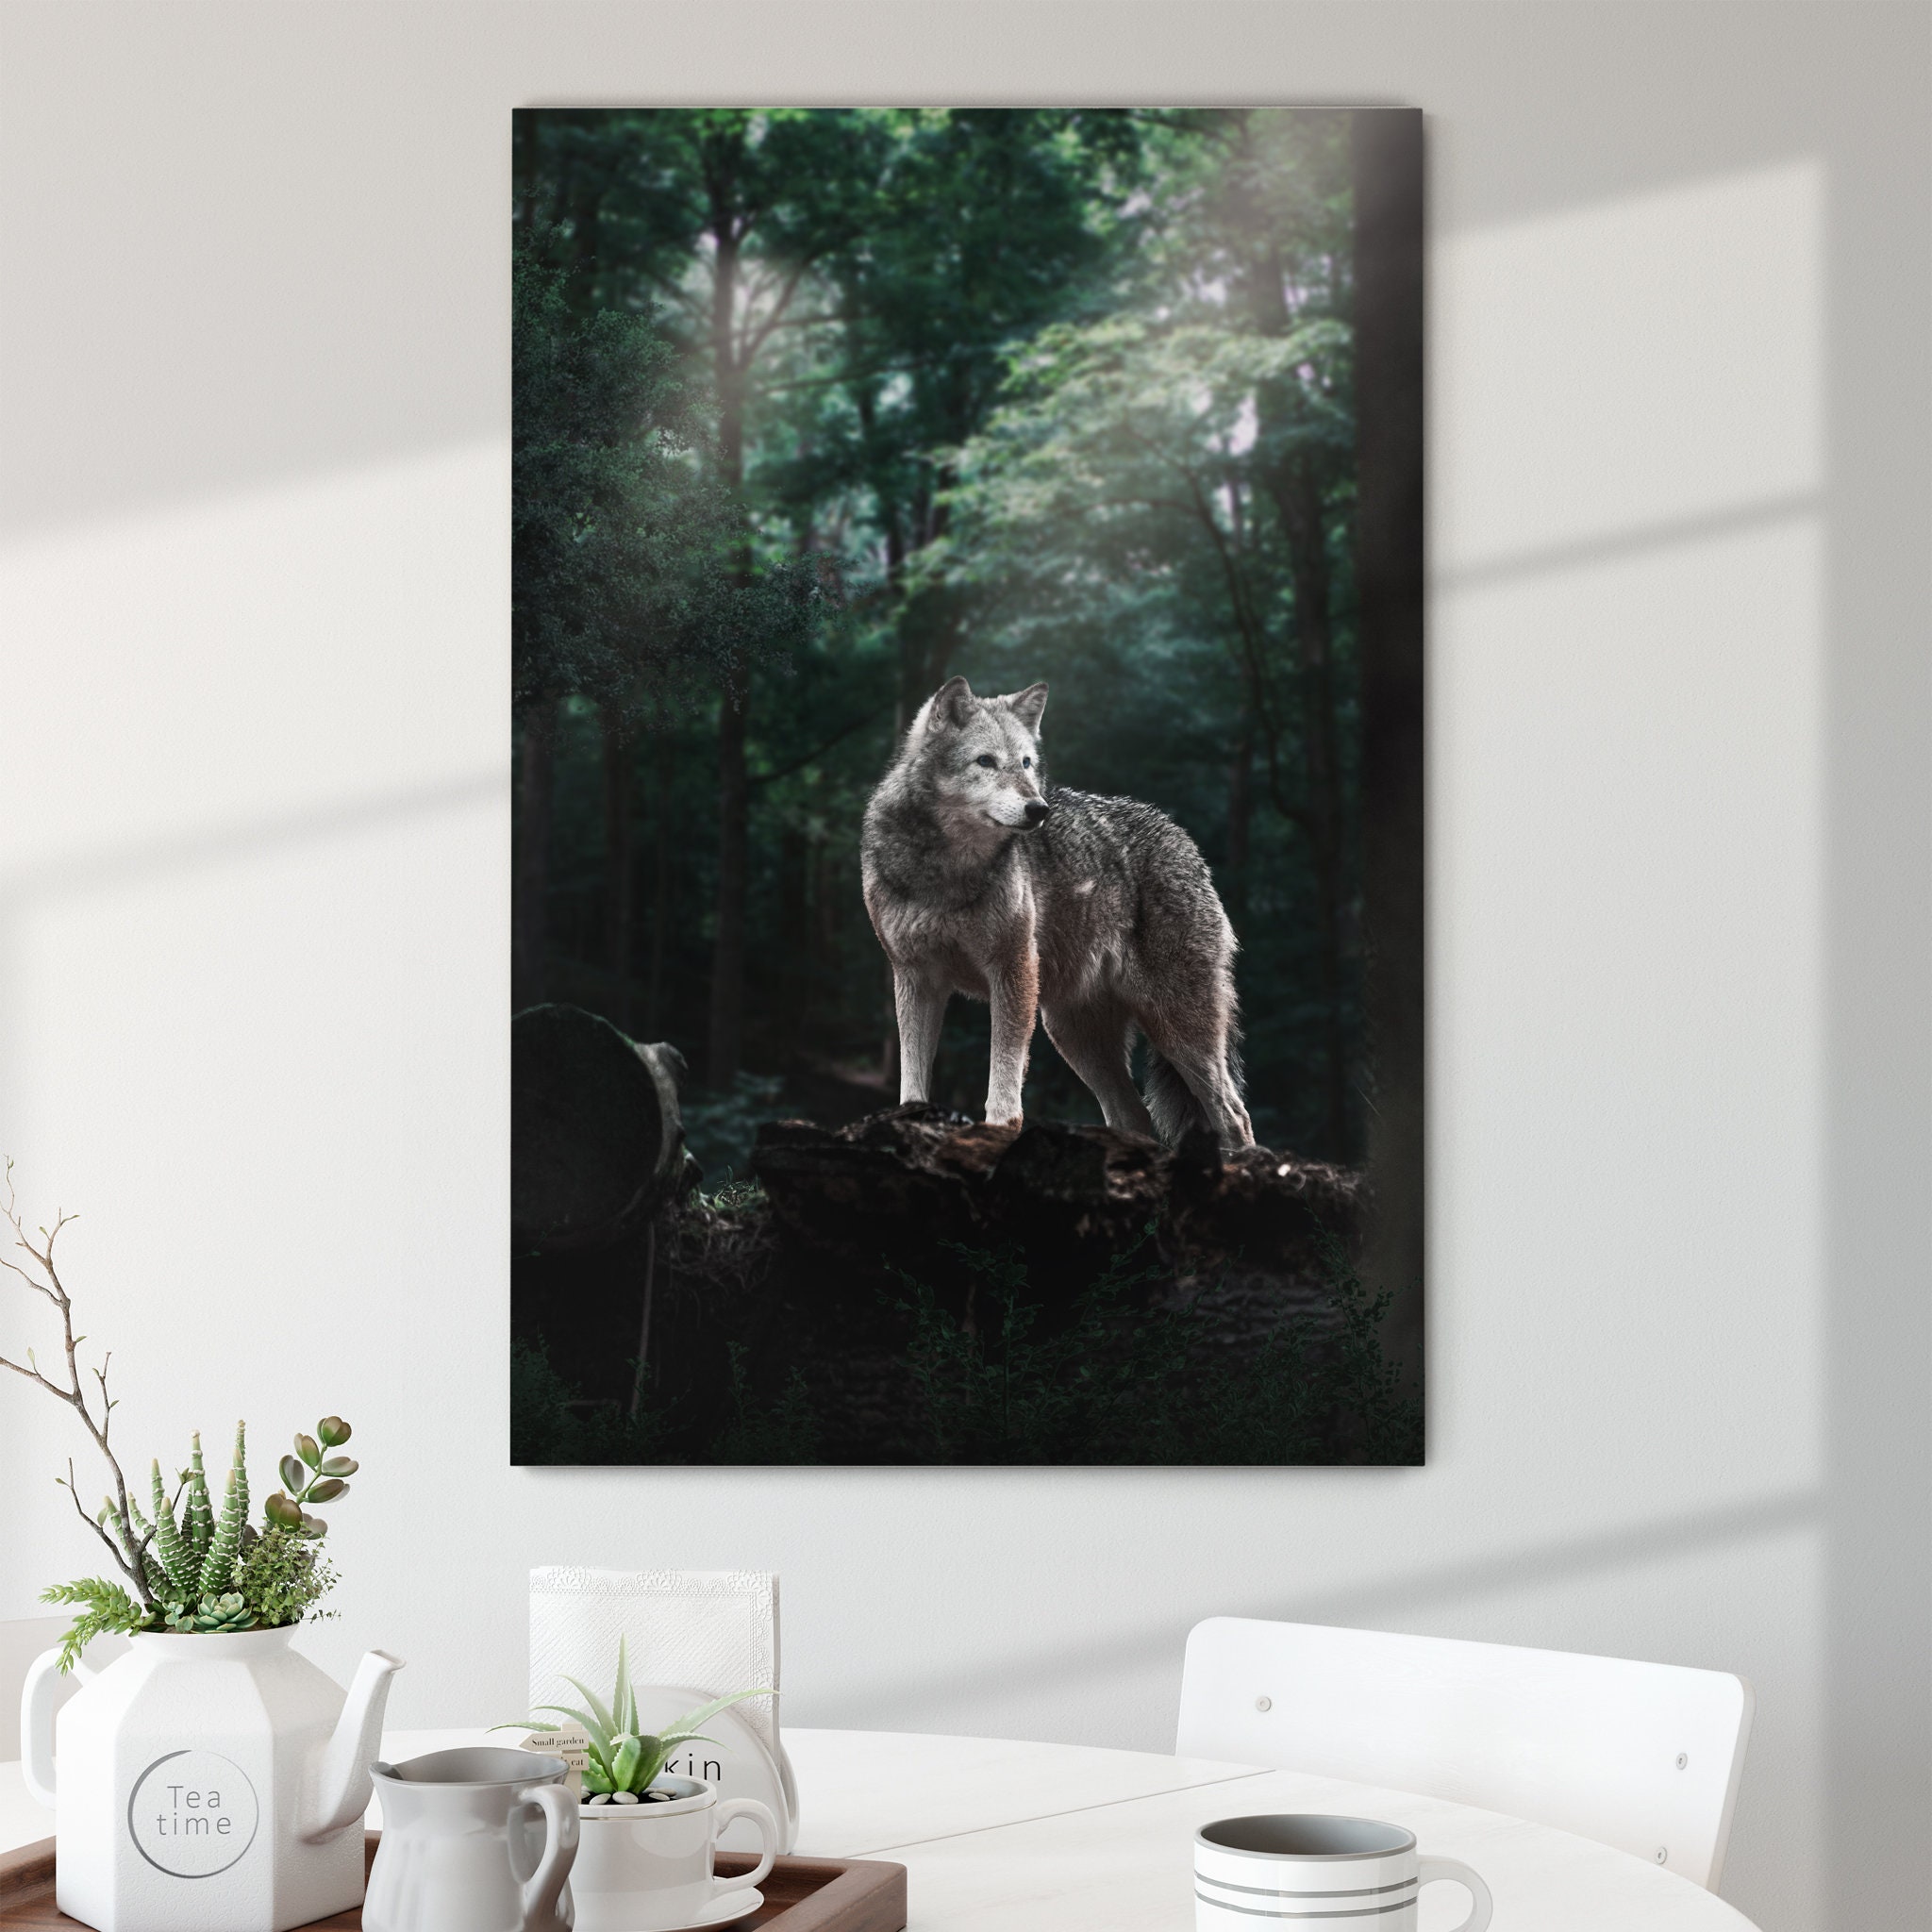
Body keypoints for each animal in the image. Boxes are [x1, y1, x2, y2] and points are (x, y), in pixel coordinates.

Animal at [861, 675, 1254, 1150]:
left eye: (1027, 763)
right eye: (986, 761)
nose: (1038, 809)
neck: (944, 872)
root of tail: (1183, 840)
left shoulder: (1012, 969)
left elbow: (1003, 1085)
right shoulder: (915, 977)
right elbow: (912, 1084)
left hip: (1175, 1027)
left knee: (1234, 1114)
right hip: (1073, 1033)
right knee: (1133, 1113)